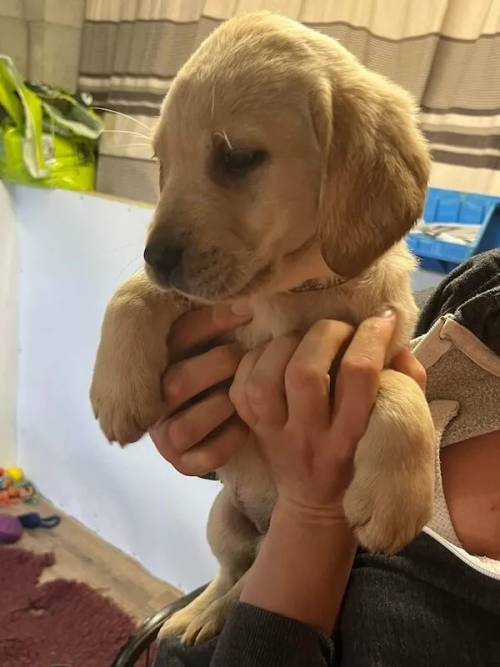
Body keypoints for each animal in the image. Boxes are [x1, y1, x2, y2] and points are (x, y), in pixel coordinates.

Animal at [92, 11, 436, 648]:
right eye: (161, 163)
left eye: (238, 157)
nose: (155, 256)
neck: (281, 291)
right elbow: (132, 294)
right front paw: (117, 393)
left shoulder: (387, 342)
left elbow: (400, 386)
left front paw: (399, 500)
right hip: (222, 519)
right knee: (233, 574)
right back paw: (196, 615)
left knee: (250, 581)